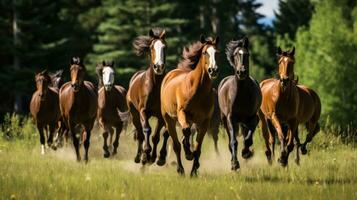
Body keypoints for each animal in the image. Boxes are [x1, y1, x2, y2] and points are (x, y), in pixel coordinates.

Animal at [126, 28, 169, 166]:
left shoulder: (161, 115)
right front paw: (146, 153)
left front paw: (156, 157)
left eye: (165, 47)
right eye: (151, 48)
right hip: (134, 114)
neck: (155, 86)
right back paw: (139, 156)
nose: (159, 66)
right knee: (140, 133)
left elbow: (156, 136)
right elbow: (147, 130)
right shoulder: (143, 111)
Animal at [160, 35, 218, 176]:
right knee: (173, 141)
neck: (197, 90)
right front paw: (188, 154)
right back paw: (178, 167)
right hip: (169, 118)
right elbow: (185, 133)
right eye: (205, 52)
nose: (213, 70)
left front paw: (194, 171)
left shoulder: (204, 121)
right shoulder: (182, 113)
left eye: (217, 52)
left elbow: (198, 148)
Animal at [217, 37, 262, 170]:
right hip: (225, 119)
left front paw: (246, 153)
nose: (241, 72)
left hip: (244, 122)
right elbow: (233, 141)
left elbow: (248, 140)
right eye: (236, 54)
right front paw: (234, 164)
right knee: (230, 139)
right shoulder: (231, 118)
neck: (241, 93)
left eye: (247, 54)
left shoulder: (253, 118)